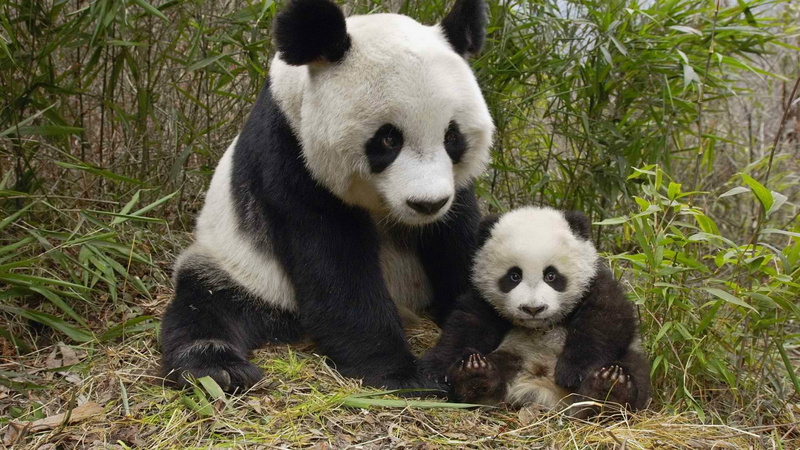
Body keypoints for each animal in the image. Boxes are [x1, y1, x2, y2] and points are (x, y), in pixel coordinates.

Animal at [159, 0, 494, 393]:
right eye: (388, 139)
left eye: (452, 137)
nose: (427, 204)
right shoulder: (290, 155)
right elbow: (334, 264)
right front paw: (403, 373)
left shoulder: (455, 191)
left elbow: (458, 241)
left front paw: (467, 355)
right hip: (240, 267)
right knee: (206, 302)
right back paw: (218, 368)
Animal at [422, 207, 651, 416]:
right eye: (514, 276)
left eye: (551, 275)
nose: (533, 308)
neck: (541, 326)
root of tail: (544, 391)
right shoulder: (483, 297)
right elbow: (467, 325)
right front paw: (435, 369)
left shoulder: (595, 282)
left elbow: (606, 320)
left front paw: (572, 371)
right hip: (513, 354)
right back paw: (475, 376)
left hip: (628, 357)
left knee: (634, 368)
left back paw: (609, 390)